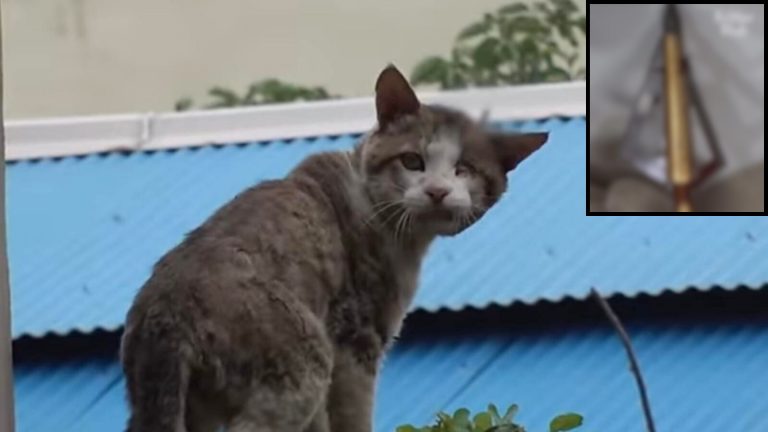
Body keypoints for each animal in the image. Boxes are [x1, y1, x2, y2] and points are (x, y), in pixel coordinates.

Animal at [121, 65, 544, 432]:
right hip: (302, 361)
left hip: (179, 405)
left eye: (464, 170)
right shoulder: (355, 341)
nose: (437, 191)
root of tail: (165, 312)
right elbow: (353, 419)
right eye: (412, 161)